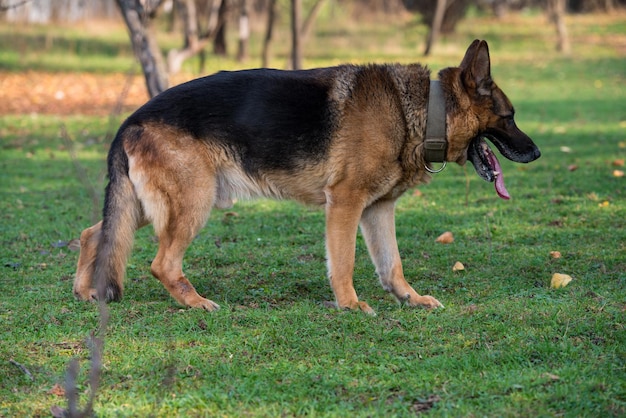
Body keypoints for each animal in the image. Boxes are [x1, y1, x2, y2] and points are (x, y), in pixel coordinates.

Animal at [74, 40, 536, 314]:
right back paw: (197, 303)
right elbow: (345, 262)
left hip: (151, 204)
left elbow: (392, 264)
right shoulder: (346, 203)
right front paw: (350, 306)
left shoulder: (379, 209)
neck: (421, 110)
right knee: (161, 263)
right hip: (193, 202)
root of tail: (131, 120)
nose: (536, 152)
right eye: (510, 117)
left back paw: (85, 292)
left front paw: (410, 298)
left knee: (95, 232)